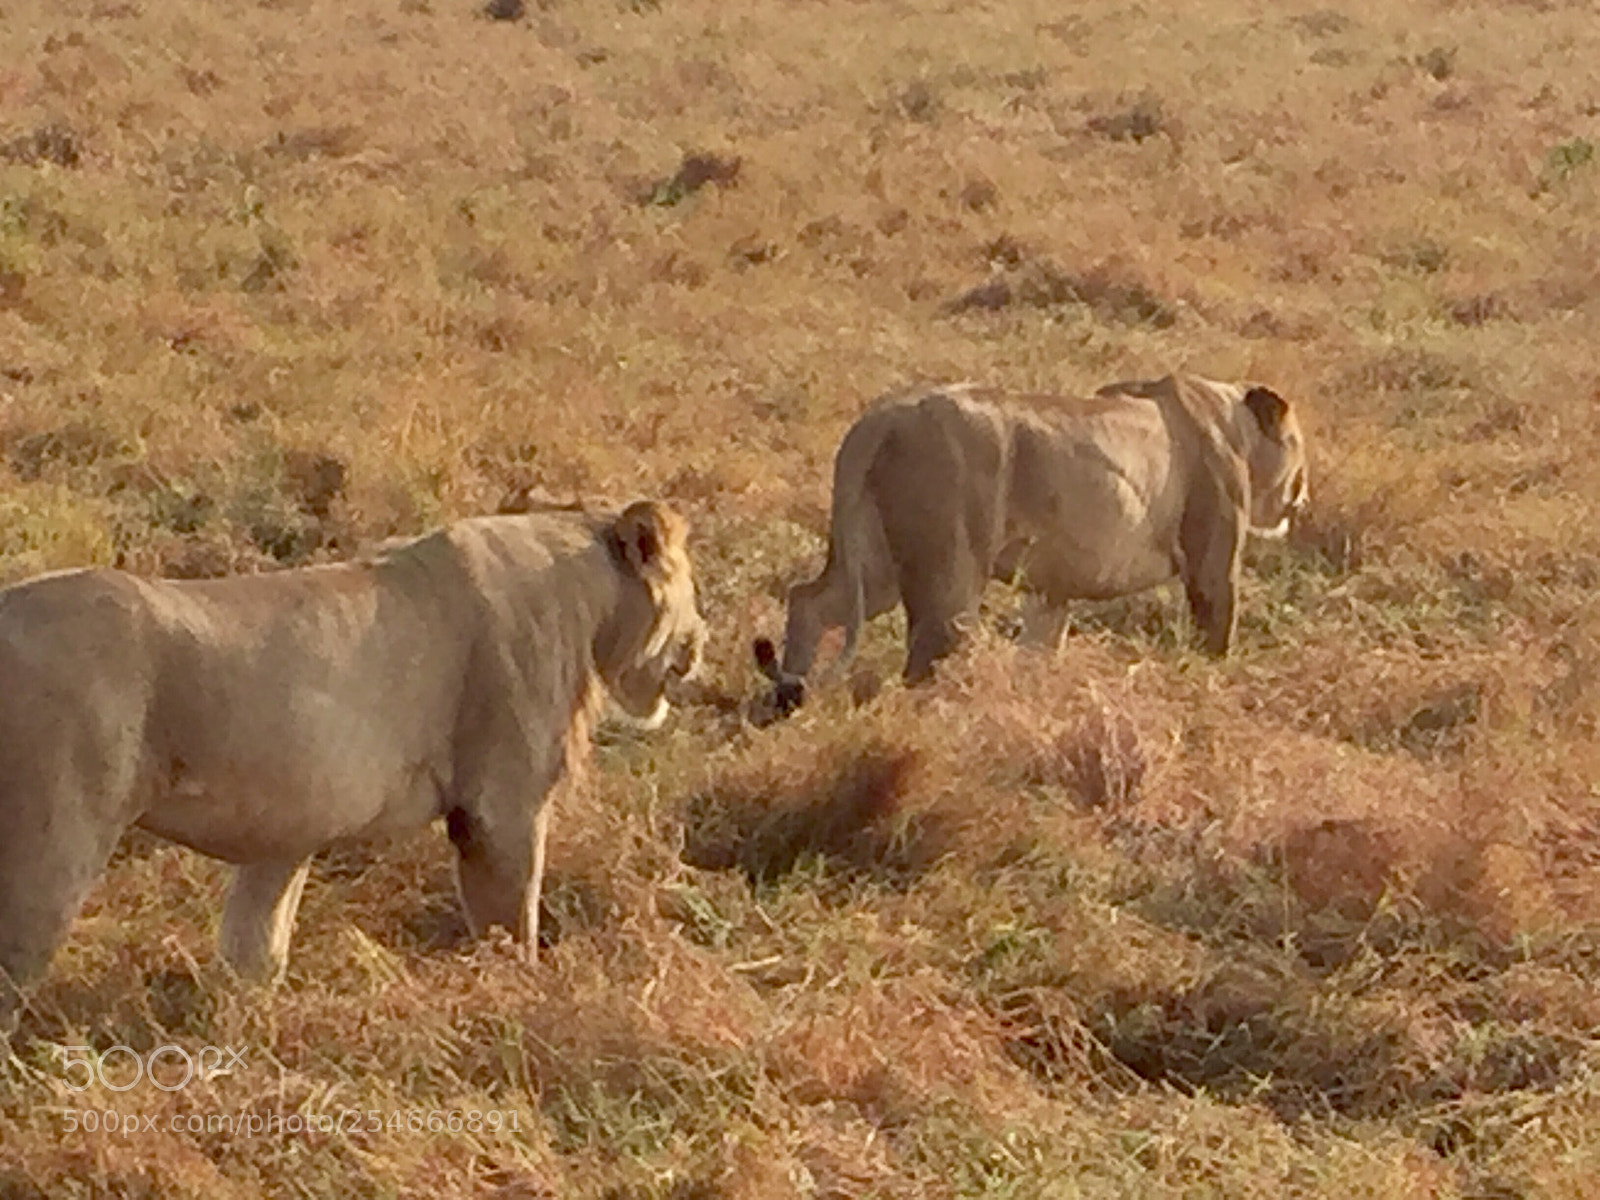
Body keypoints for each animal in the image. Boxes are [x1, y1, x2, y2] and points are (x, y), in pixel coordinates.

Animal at [0, 500, 704, 1012]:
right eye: (694, 590)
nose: (702, 640)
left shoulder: (285, 829)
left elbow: (258, 937)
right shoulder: (503, 806)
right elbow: (511, 922)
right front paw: (519, 998)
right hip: (54, 843)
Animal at [754, 374, 1308, 712]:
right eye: (1299, 444)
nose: (1304, 495)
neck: (1233, 421)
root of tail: (877, 422)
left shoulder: (1051, 587)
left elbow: (1041, 647)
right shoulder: (1213, 561)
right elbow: (1218, 630)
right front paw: (1212, 686)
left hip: (875, 564)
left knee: (808, 601)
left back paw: (788, 699)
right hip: (948, 572)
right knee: (927, 654)